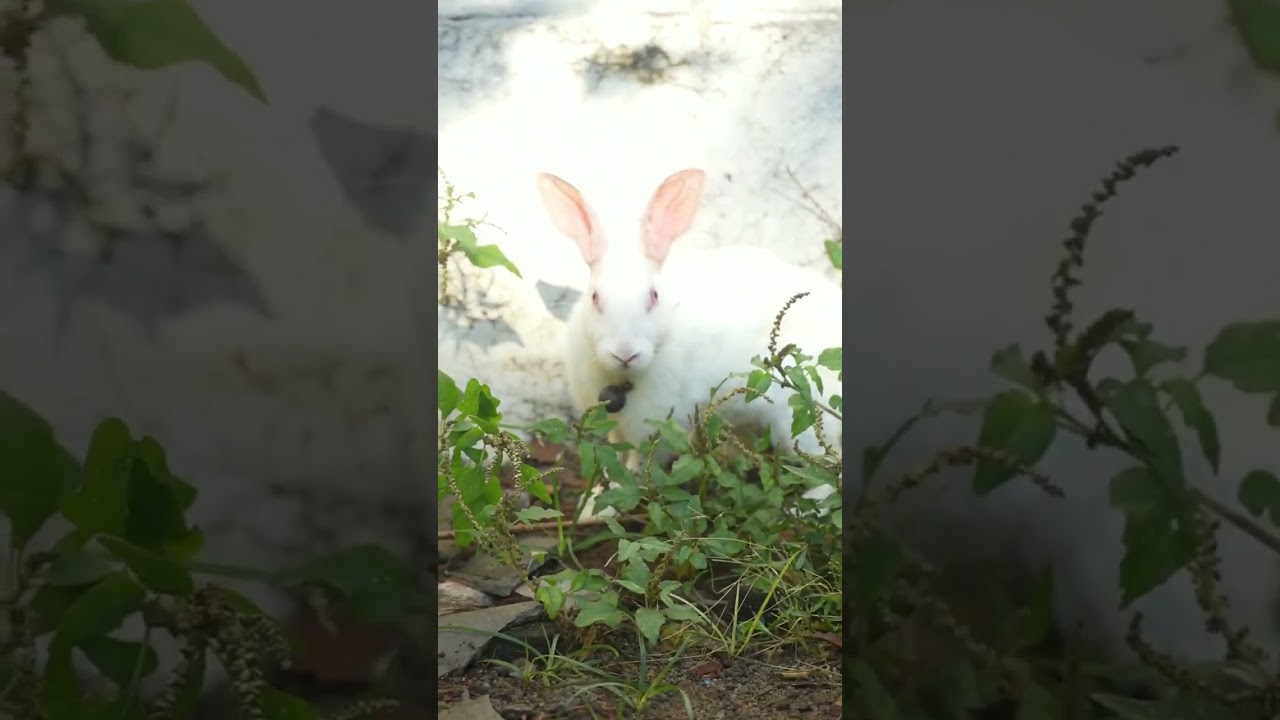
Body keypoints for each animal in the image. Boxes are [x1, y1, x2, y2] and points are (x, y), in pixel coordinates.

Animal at [535, 168, 843, 518]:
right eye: (595, 298)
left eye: (654, 297)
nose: (625, 353)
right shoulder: (616, 429)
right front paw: (590, 508)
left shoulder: (654, 431)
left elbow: (634, 469)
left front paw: (601, 509)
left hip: (798, 423)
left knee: (829, 471)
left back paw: (804, 508)